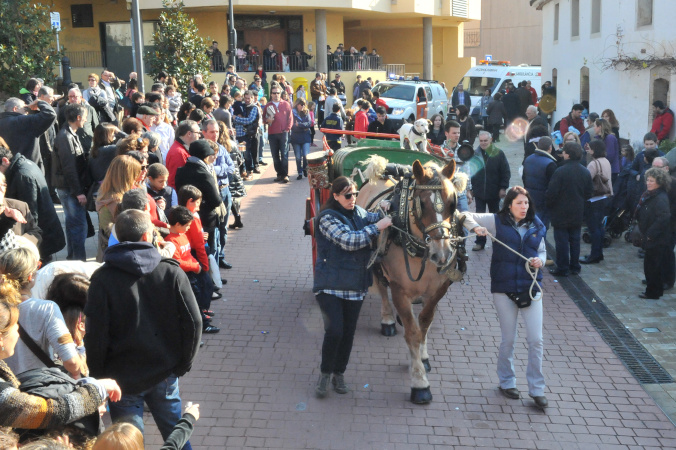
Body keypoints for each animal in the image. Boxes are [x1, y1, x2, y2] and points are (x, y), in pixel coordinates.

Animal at [360, 158, 464, 404]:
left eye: (453, 203)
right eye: (422, 204)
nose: (442, 254)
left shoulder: (438, 291)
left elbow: (424, 324)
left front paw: (423, 358)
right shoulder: (400, 291)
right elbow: (413, 333)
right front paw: (419, 383)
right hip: (377, 265)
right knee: (382, 289)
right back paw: (389, 319)